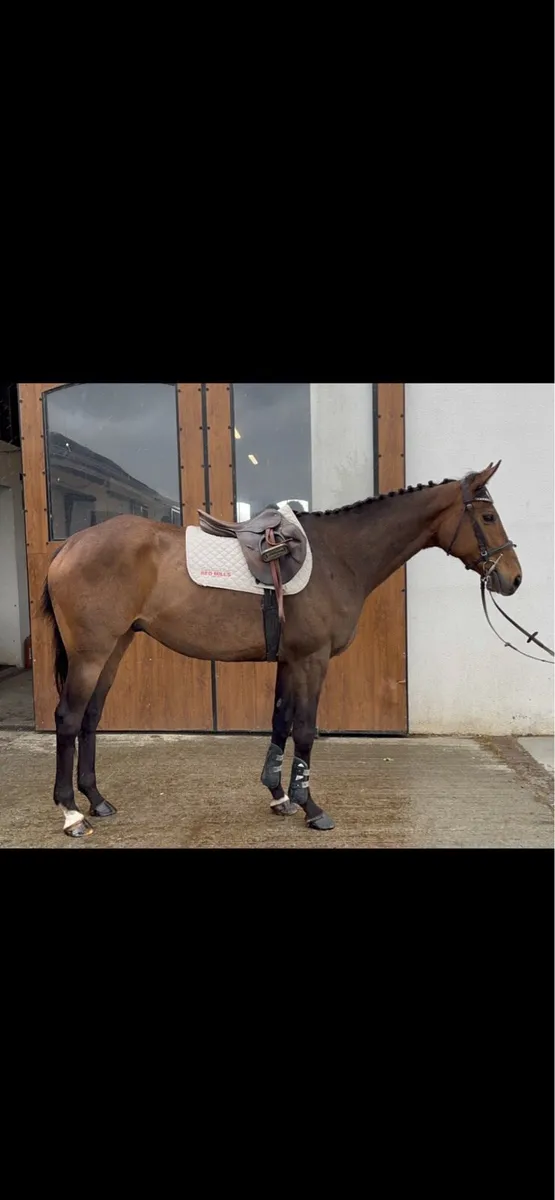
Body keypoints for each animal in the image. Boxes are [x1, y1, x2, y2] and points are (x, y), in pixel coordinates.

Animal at [41, 460, 522, 838]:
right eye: (489, 516)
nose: (513, 579)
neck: (337, 557)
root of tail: (71, 544)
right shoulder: (312, 660)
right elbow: (305, 730)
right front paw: (311, 808)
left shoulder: (291, 661)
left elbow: (279, 722)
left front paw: (279, 796)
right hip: (91, 654)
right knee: (68, 718)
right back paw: (72, 814)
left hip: (114, 648)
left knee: (91, 717)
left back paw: (97, 800)